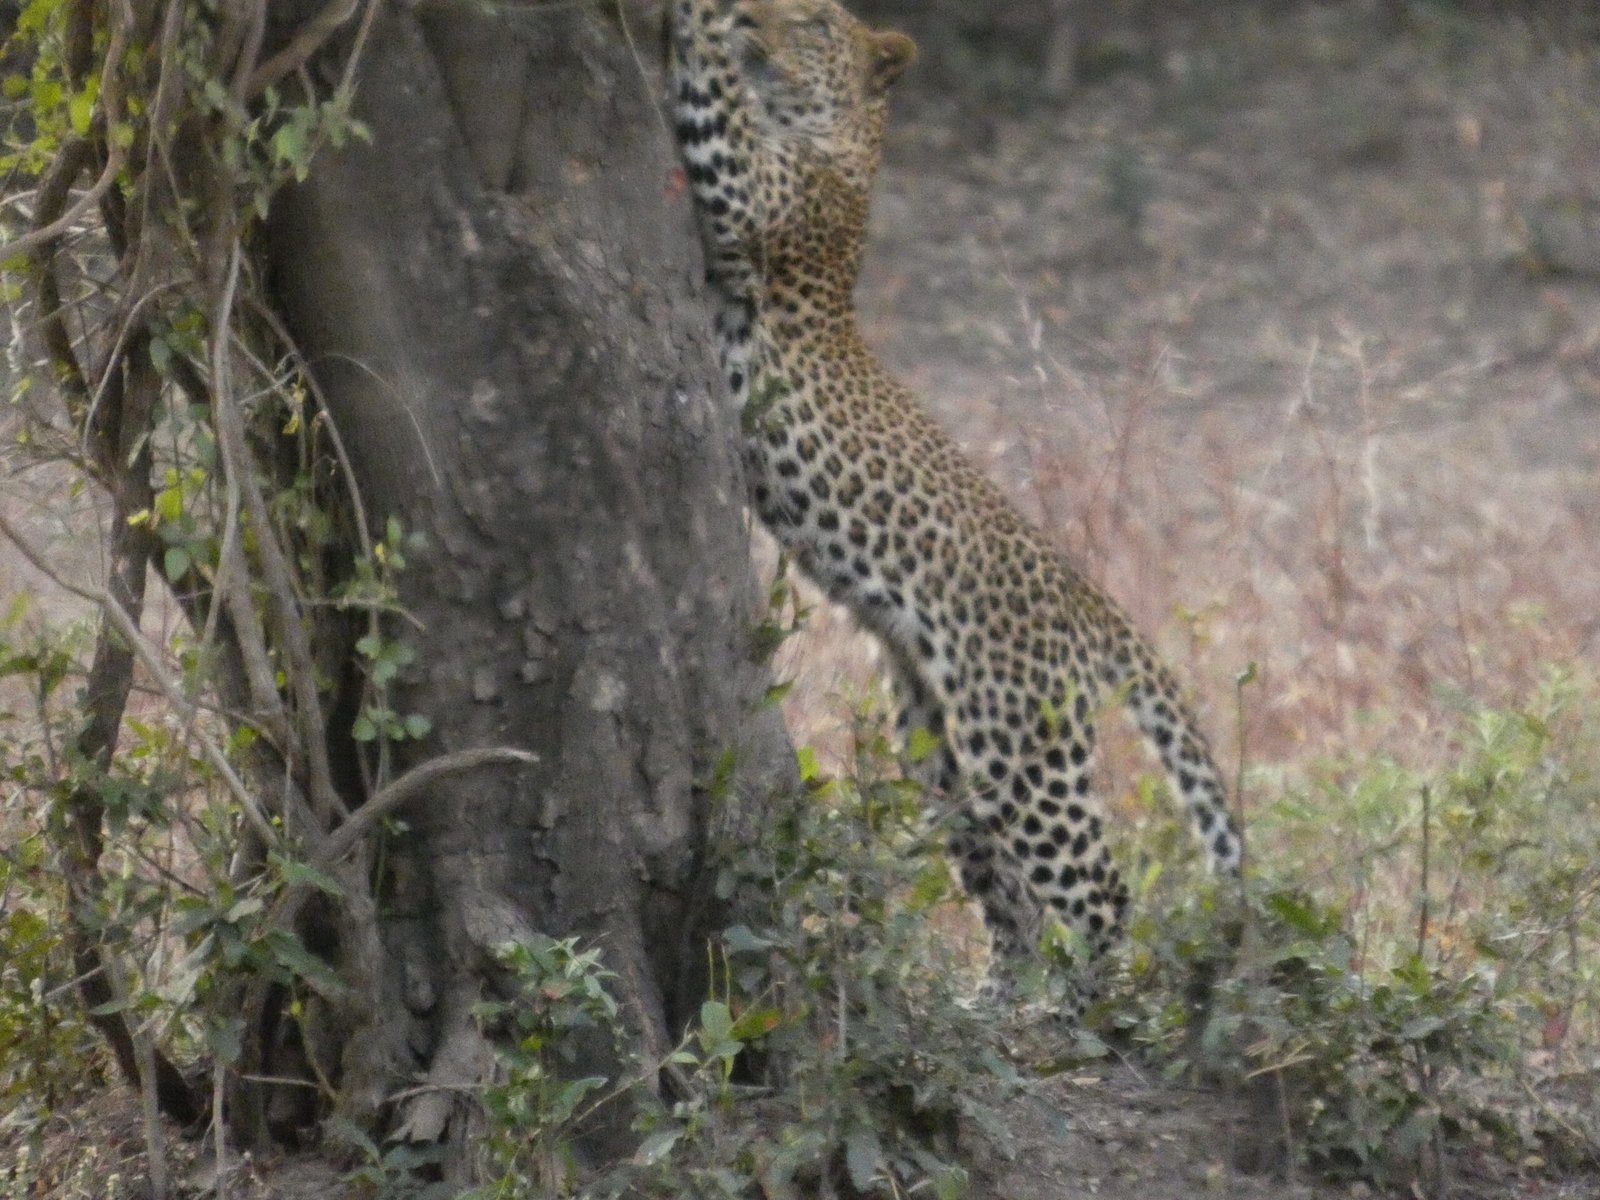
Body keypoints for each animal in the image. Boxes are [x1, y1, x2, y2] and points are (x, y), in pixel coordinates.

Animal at [669, 0, 1242, 985]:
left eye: (810, 20)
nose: (756, 16)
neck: (852, 142)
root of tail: (1089, 601)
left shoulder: (748, 193)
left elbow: (719, 104)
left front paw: (696, 18)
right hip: (939, 748)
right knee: (1010, 897)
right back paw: (998, 1000)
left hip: (1022, 745)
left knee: (1098, 896)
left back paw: (1088, 1010)